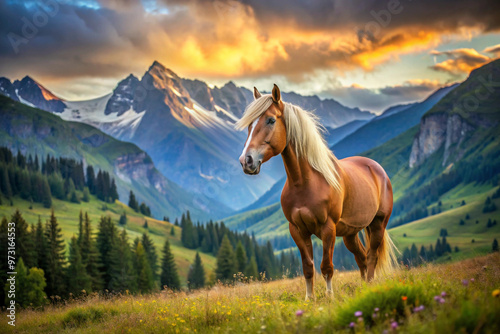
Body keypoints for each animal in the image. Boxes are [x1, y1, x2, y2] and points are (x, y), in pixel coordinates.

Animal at [235, 83, 398, 300]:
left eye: (270, 120)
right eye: (249, 125)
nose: (246, 161)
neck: (305, 182)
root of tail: (376, 169)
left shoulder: (328, 228)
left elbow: (326, 267)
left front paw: (329, 297)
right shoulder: (297, 230)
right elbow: (308, 267)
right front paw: (309, 299)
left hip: (378, 225)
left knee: (371, 256)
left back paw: (370, 287)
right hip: (350, 234)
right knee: (362, 257)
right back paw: (364, 288)